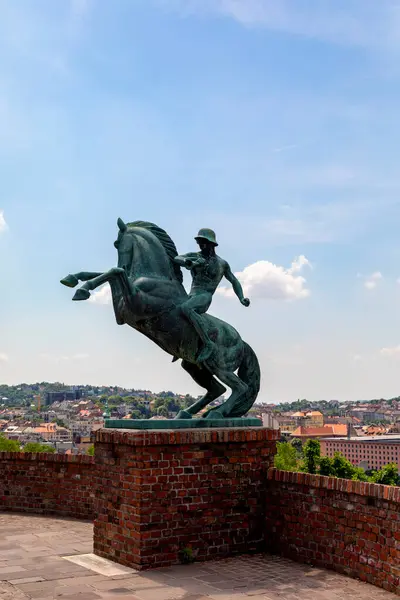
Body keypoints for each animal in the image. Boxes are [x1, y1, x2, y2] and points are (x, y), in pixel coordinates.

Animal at [59, 218, 260, 420]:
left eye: (116, 243)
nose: (126, 266)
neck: (154, 276)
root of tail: (242, 342)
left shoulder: (135, 303)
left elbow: (114, 272)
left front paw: (82, 289)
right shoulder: (122, 313)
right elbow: (108, 273)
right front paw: (74, 279)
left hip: (219, 365)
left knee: (240, 387)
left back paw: (217, 412)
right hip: (195, 365)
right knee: (217, 389)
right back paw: (187, 413)